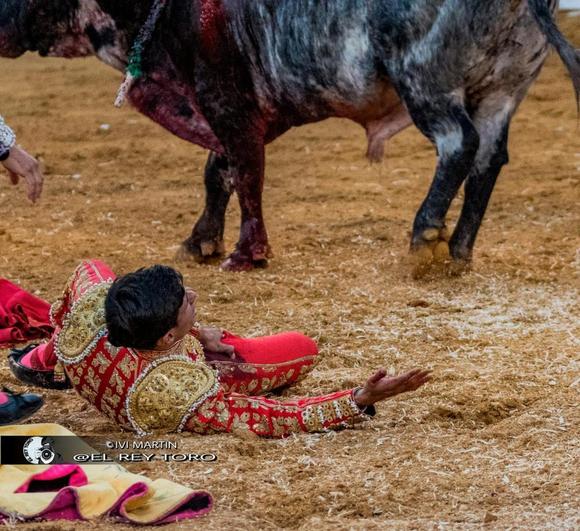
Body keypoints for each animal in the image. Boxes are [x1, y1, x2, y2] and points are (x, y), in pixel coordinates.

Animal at [0, 1, 576, 270]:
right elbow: (220, 172)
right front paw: (201, 240)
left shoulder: (225, 99)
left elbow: (244, 172)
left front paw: (244, 252)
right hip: (502, 89)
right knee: (488, 160)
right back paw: (458, 249)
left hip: (427, 81)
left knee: (460, 146)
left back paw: (425, 237)